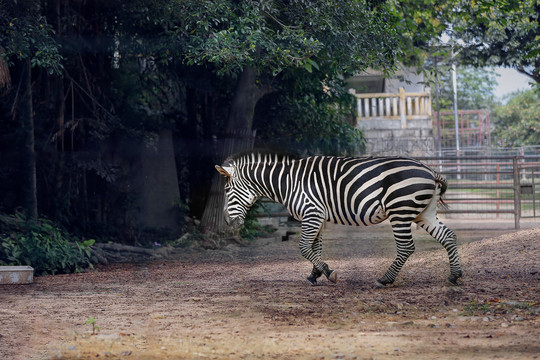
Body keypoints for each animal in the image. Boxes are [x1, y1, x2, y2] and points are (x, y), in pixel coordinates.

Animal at [217, 151, 462, 286]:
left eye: (227, 190)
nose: (228, 223)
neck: (288, 182)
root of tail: (429, 170)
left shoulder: (312, 213)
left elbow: (304, 247)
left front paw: (328, 273)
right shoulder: (316, 216)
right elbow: (315, 248)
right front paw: (315, 275)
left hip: (399, 211)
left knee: (406, 248)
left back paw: (385, 279)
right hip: (423, 212)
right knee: (448, 236)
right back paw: (455, 275)